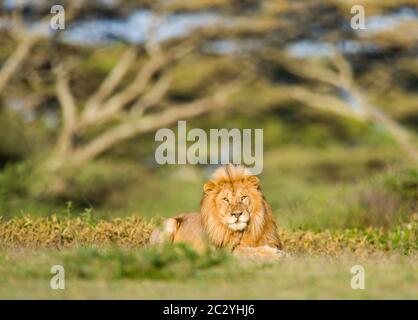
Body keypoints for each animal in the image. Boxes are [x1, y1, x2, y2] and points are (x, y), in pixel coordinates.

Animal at [150, 165, 284, 260]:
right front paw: (273, 253)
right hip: (169, 223)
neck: (242, 232)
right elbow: (247, 250)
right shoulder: (222, 251)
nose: (237, 214)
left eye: (243, 198)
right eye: (226, 200)